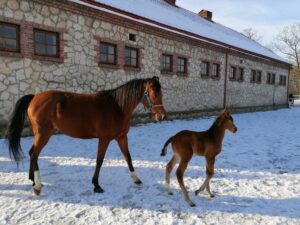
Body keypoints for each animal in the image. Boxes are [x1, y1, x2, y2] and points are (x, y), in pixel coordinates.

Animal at [5, 76, 166, 195]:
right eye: (154, 94)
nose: (162, 116)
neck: (117, 107)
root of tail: (34, 97)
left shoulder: (121, 137)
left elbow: (128, 157)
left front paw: (136, 180)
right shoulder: (104, 139)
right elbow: (99, 161)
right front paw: (96, 185)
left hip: (41, 134)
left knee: (32, 153)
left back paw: (32, 179)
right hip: (43, 134)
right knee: (34, 154)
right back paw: (37, 186)